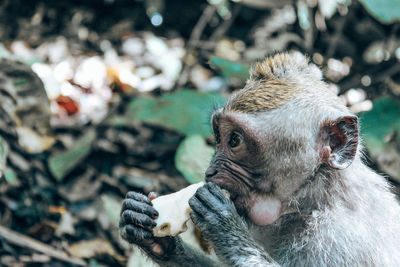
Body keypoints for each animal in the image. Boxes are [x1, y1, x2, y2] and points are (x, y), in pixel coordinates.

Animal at [119, 52, 400, 267]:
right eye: (218, 136)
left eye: (235, 140)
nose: (210, 173)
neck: (310, 202)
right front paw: (154, 235)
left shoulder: (338, 239)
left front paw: (224, 224)